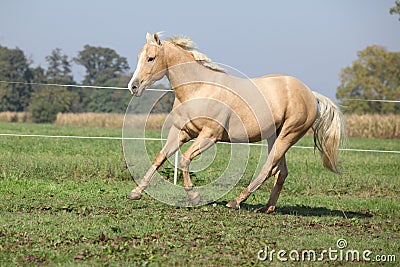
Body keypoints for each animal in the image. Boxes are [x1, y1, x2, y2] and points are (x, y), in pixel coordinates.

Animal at [127, 33, 344, 214]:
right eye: (139, 56)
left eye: (151, 58)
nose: (133, 87)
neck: (199, 88)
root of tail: (310, 94)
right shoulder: (182, 132)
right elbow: (160, 157)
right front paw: (136, 192)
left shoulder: (210, 135)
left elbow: (185, 159)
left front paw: (195, 196)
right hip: (275, 136)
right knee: (281, 171)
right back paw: (267, 207)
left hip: (288, 135)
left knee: (268, 168)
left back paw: (236, 201)